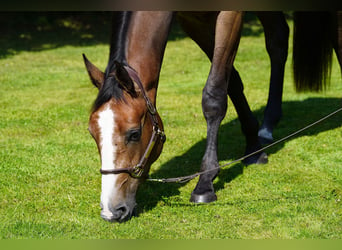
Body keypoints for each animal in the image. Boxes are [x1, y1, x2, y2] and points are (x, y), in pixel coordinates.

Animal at [83, 11, 288, 223]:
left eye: (134, 134)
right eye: (92, 133)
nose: (111, 210)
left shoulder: (230, 15)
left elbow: (214, 95)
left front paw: (205, 183)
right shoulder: (193, 22)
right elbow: (232, 82)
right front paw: (254, 147)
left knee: (277, 43)